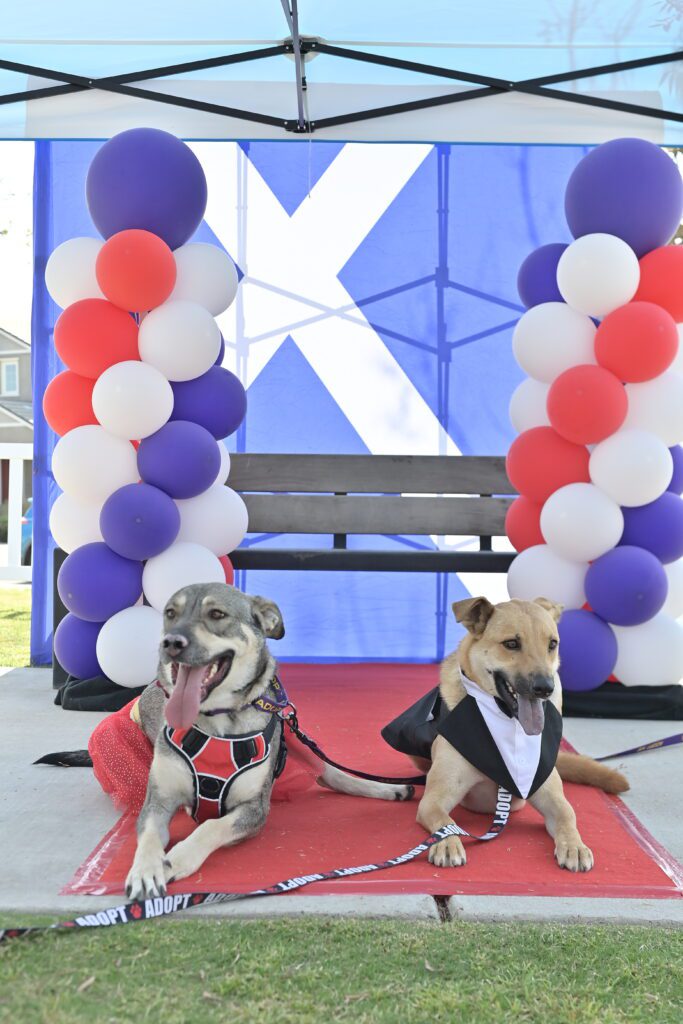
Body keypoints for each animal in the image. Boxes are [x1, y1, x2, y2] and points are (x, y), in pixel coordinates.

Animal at [125, 581, 626, 901]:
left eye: (553, 644)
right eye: (511, 644)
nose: (543, 687)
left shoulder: (544, 789)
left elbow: (567, 815)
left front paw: (574, 845)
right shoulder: (163, 802)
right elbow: (153, 836)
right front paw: (152, 868)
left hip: (297, 738)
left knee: (337, 775)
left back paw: (387, 789)